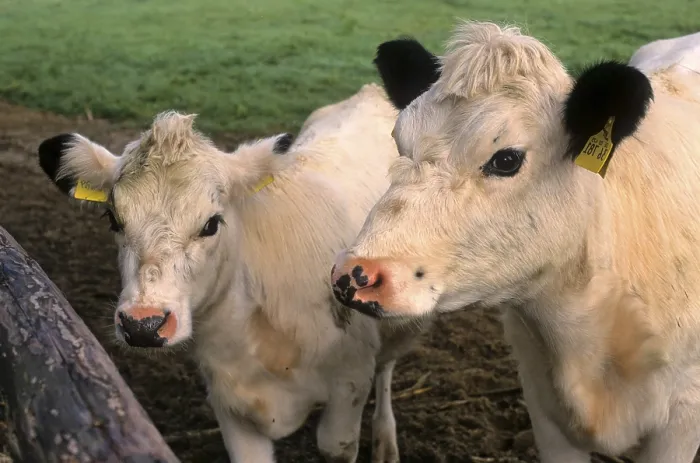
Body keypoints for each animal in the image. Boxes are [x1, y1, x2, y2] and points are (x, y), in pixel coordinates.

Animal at [36, 83, 434, 463]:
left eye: (211, 224)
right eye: (113, 219)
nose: (143, 324)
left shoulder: (350, 385)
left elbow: (338, 441)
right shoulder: (229, 405)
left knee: (386, 369)